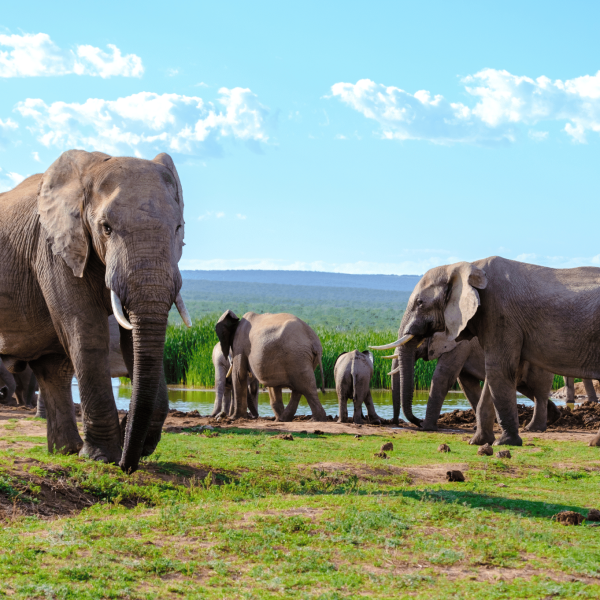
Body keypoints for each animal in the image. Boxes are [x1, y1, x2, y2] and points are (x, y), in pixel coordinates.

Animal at [0, 150, 190, 474]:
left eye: (178, 229)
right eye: (106, 228)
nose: (128, 465)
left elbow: (132, 342)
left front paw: (130, 444)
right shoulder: (54, 248)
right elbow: (87, 334)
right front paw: (102, 457)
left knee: (53, 370)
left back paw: (65, 451)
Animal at [370, 255, 600, 448]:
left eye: (420, 303)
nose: (413, 423)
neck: (466, 268)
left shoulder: (497, 316)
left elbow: (477, 372)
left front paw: (504, 443)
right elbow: (478, 381)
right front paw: (479, 441)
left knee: (539, 390)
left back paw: (537, 429)